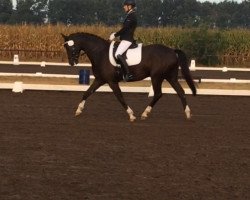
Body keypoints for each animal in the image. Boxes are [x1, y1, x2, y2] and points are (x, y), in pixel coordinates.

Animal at [61, 32, 196, 121]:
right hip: (170, 77)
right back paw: (188, 114)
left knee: (158, 94)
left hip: (156, 77)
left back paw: (145, 113)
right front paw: (78, 110)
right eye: (65, 47)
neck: (100, 53)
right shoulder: (100, 79)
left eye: (71, 47)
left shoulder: (111, 81)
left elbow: (120, 97)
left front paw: (131, 115)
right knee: (181, 92)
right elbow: (87, 93)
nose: (72, 63)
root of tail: (172, 51)